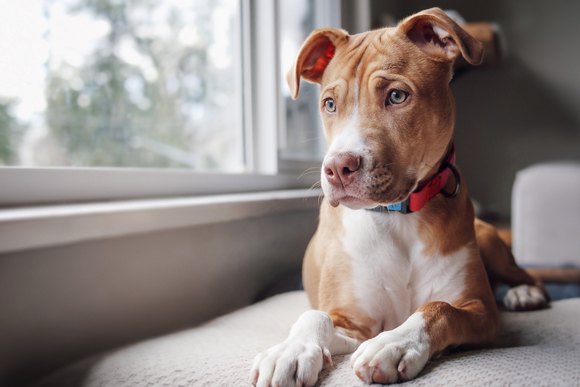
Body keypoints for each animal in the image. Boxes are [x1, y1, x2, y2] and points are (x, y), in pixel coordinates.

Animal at [248, 7, 548, 386]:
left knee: (527, 275)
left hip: (491, 243)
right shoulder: (353, 320)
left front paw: (394, 344)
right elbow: (316, 316)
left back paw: (524, 293)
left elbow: (439, 309)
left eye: (396, 96)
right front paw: (290, 350)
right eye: (329, 104)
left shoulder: (479, 310)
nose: (337, 168)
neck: (397, 215)